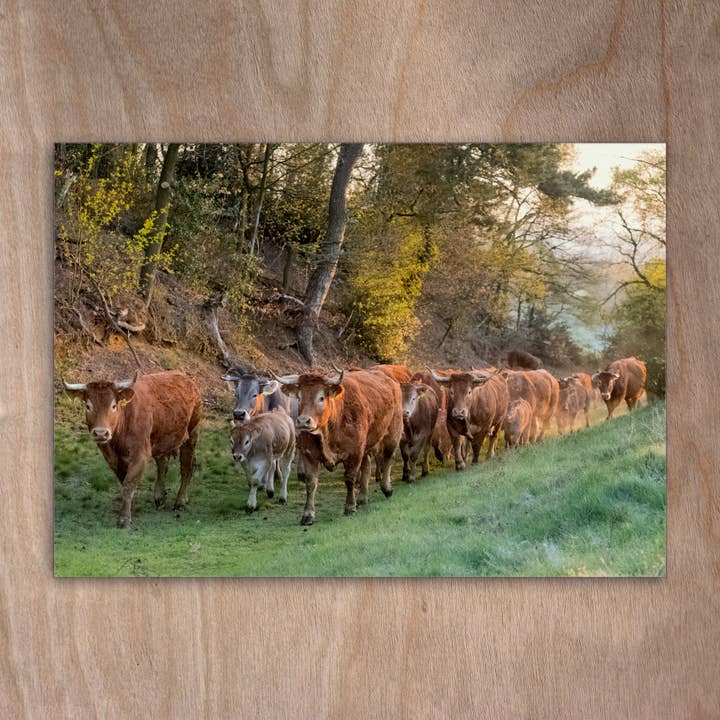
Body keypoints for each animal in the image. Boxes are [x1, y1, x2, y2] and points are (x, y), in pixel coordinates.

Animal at [63, 370, 202, 528]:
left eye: (113, 406)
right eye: (88, 406)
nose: (101, 433)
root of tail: (186, 379)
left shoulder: (140, 454)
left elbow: (129, 484)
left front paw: (124, 518)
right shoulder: (112, 458)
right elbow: (124, 482)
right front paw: (130, 507)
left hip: (192, 433)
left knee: (186, 467)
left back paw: (180, 501)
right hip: (161, 439)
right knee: (162, 465)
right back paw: (160, 497)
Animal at [275, 367, 403, 525]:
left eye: (321, 398)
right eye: (299, 397)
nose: (303, 421)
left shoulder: (354, 453)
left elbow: (350, 479)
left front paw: (349, 506)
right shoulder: (308, 454)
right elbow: (311, 483)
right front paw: (308, 514)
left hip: (393, 431)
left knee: (387, 459)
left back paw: (386, 488)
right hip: (366, 445)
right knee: (366, 466)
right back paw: (362, 497)